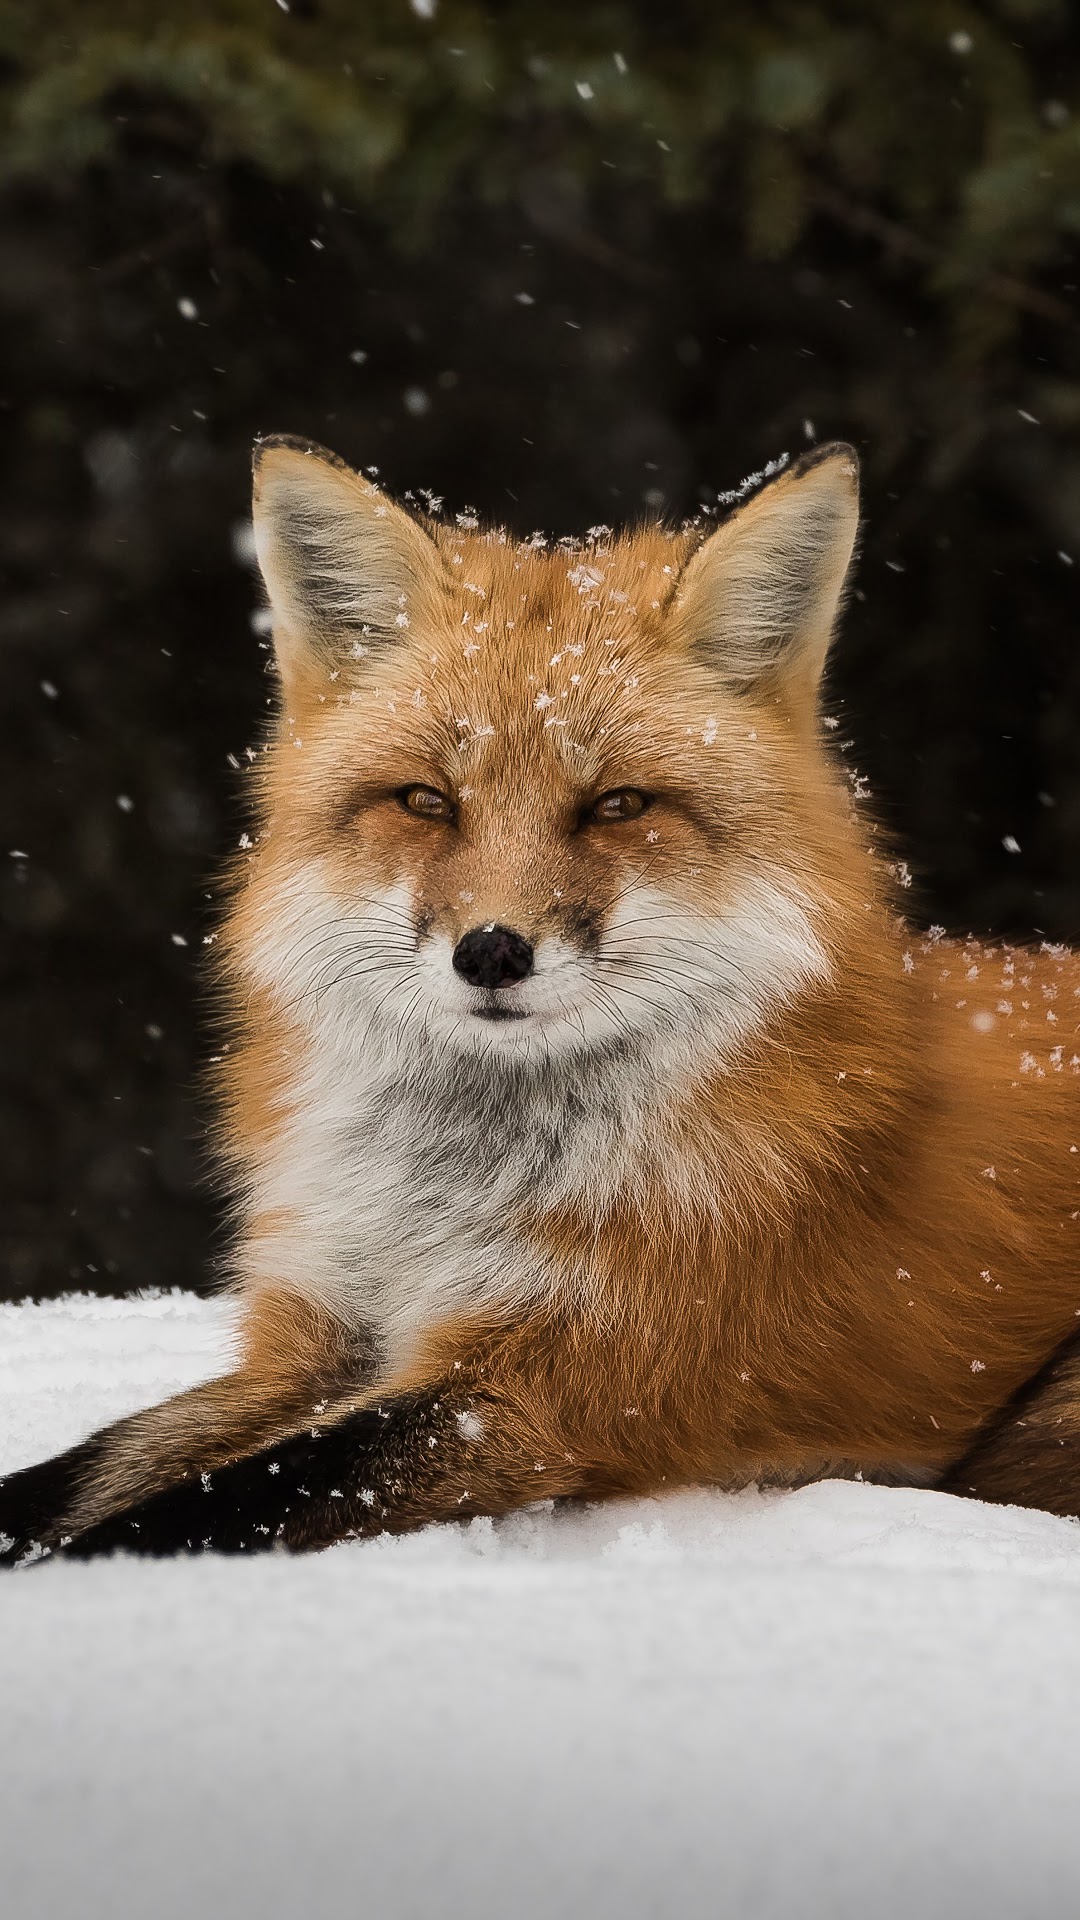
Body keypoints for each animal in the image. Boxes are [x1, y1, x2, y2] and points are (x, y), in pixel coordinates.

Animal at [3, 433, 1080, 1565]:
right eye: (427, 802)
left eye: (617, 806)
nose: (490, 952)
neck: (445, 1196)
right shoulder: (318, 1339)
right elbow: (87, 1469)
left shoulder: (545, 1389)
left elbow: (211, 1502)